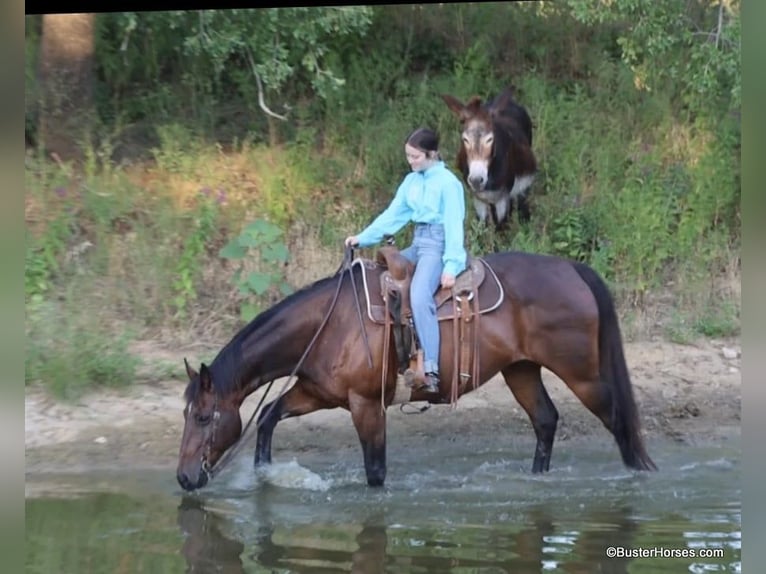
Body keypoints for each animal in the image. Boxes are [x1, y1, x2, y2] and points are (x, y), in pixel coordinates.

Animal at [176, 249, 656, 492]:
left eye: (202, 416)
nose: (183, 477)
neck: (329, 323)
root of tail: (572, 269)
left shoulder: (366, 404)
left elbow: (375, 470)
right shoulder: (317, 393)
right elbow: (269, 416)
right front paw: (263, 473)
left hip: (581, 373)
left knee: (618, 419)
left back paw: (640, 476)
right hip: (521, 370)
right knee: (546, 420)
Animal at [442, 87, 537, 229]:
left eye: (490, 139)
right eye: (465, 139)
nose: (476, 180)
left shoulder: (502, 198)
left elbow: (501, 227)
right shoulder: (478, 199)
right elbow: (482, 226)